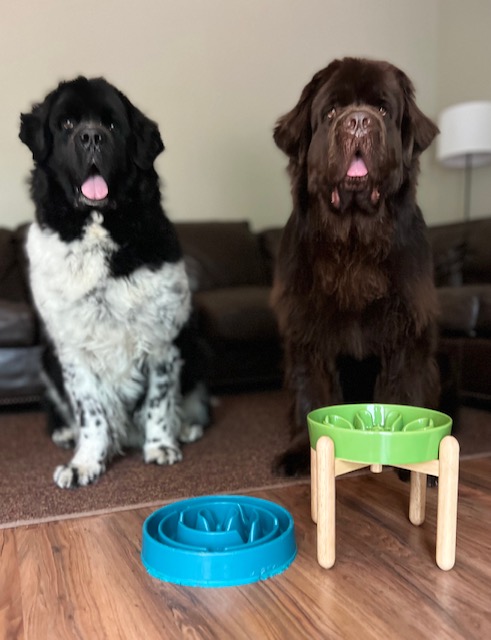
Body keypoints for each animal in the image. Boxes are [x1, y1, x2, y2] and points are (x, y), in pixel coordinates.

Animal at [19, 77, 209, 488]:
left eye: (112, 125)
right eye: (67, 123)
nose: (92, 137)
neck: (96, 228)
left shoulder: (163, 339)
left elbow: (157, 401)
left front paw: (160, 446)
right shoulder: (72, 348)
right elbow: (91, 412)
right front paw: (85, 462)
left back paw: (186, 426)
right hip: (46, 359)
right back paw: (65, 433)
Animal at [272, 57, 442, 476]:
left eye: (382, 109)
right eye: (332, 111)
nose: (359, 120)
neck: (354, 239)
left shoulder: (408, 324)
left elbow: (407, 385)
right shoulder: (306, 329)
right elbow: (310, 390)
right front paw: (301, 452)